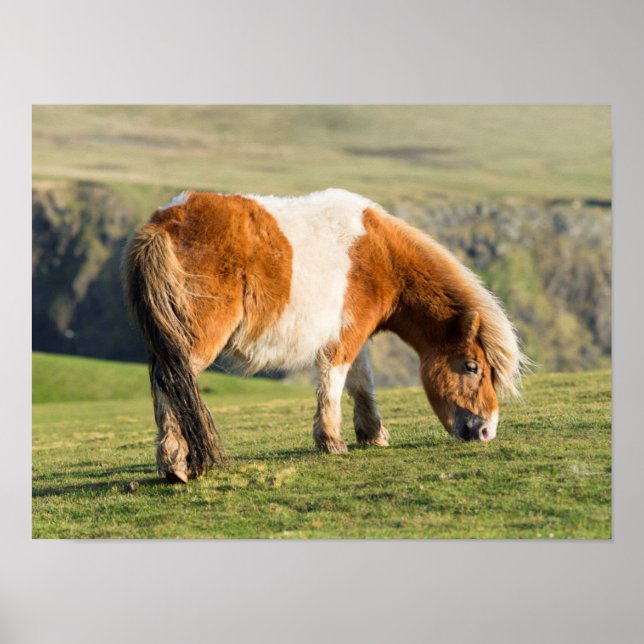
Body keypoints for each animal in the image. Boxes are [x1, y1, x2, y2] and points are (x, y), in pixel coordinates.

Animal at [123, 188, 526, 483]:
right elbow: (334, 381)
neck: (380, 254)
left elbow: (362, 384)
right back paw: (175, 464)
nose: (486, 431)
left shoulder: (358, 335)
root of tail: (164, 222)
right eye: (473, 367)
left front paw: (373, 435)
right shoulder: (345, 337)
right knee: (171, 383)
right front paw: (332, 441)